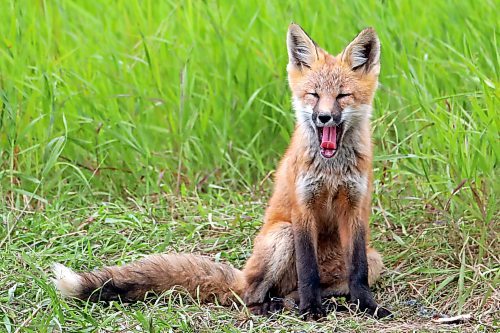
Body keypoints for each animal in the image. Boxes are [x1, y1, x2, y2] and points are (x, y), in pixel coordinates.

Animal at [52, 24, 392, 320]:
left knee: (299, 289)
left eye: (342, 96)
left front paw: (367, 307)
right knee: (252, 295)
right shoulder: (302, 208)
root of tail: (243, 276)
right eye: (314, 94)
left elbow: (358, 271)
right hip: (282, 235)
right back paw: (273, 307)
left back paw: (307, 302)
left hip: (374, 259)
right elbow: (308, 270)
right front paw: (311, 310)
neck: (331, 170)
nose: (323, 118)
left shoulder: (356, 208)